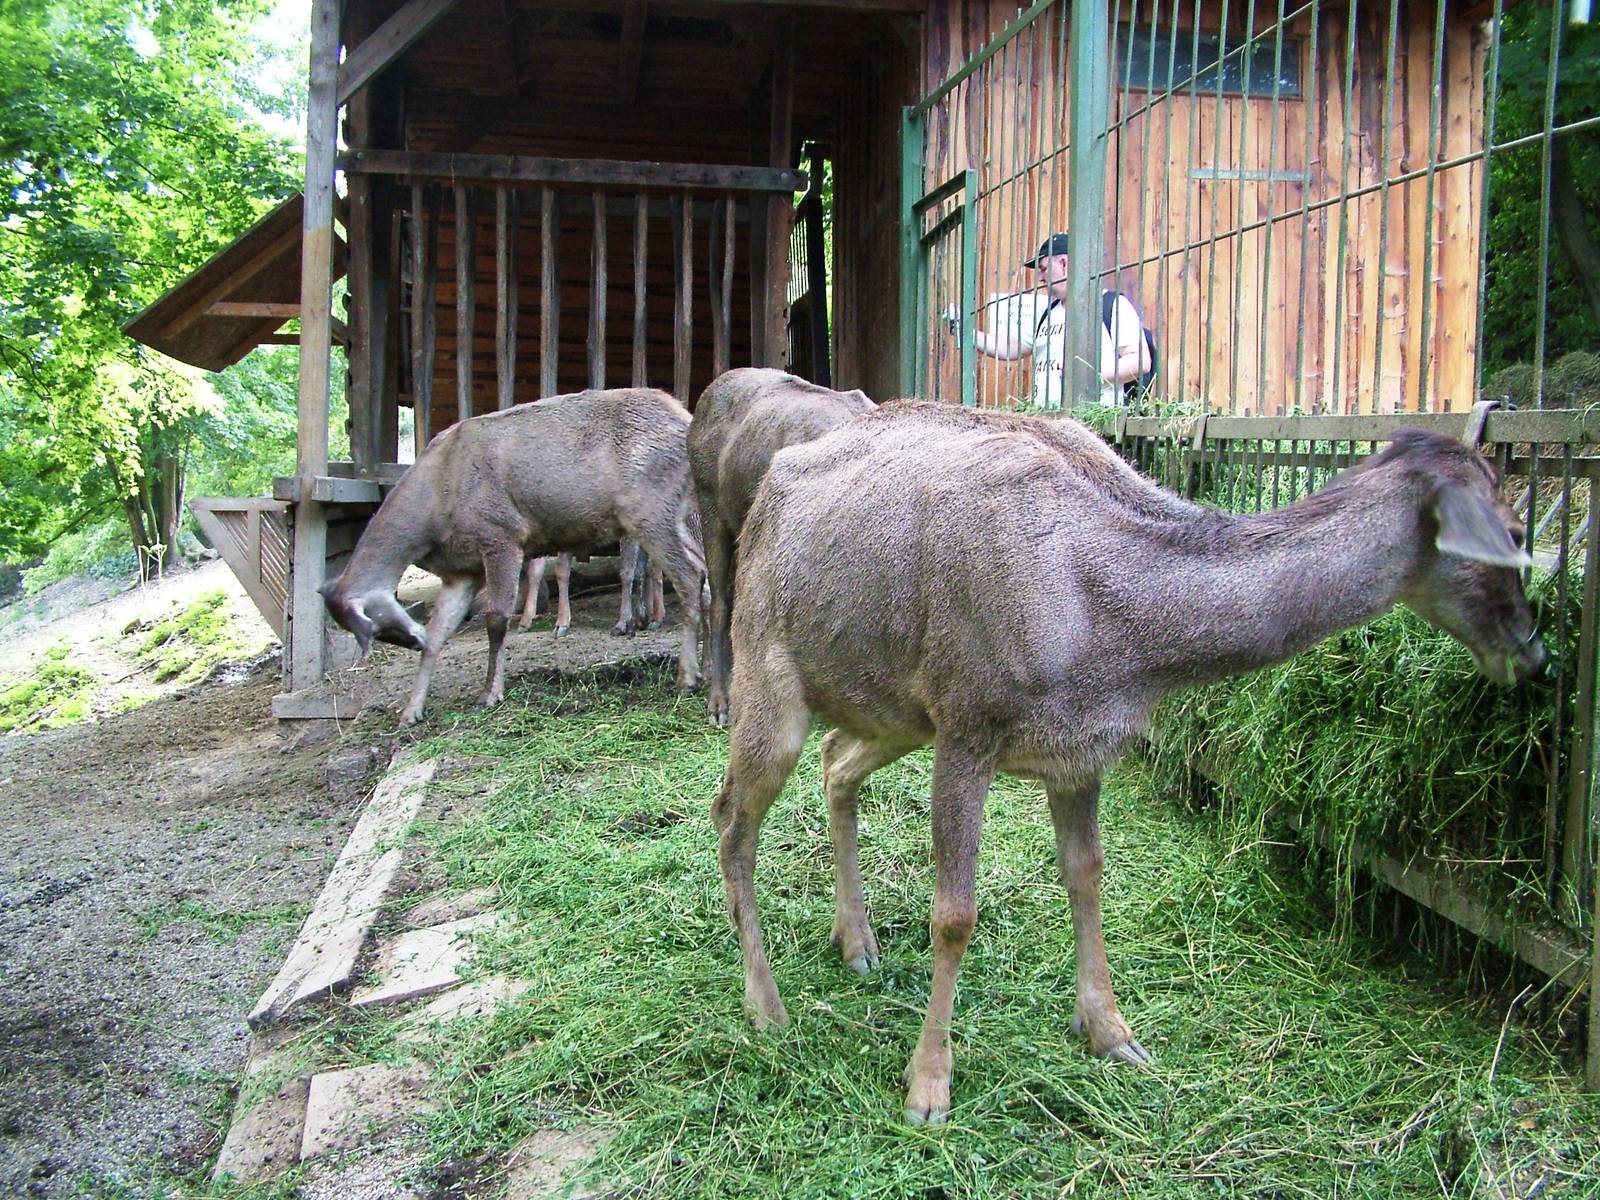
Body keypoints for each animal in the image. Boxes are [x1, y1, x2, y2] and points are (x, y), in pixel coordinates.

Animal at [322, 388, 705, 726]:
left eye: (377, 625)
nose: (413, 641)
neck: (434, 510)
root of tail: (686, 418)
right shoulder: (460, 573)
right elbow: (440, 631)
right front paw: (411, 711)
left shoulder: (501, 535)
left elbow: (497, 618)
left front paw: (490, 693)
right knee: (705, 572)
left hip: (651, 510)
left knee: (688, 577)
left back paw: (687, 676)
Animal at [711, 403, 1544, 1126]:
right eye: (1515, 531)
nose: (1534, 653)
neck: (1117, 640)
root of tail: (761, 497)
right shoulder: (970, 717)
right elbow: (954, 915)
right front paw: (927, 1088)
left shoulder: (1081, 750)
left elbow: (1086, 874)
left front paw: (1113, 1032)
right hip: (768, 666)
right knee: (731, 817)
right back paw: (765, 1006)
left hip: (894, 707)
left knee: (836, 762)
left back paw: (857, 942)